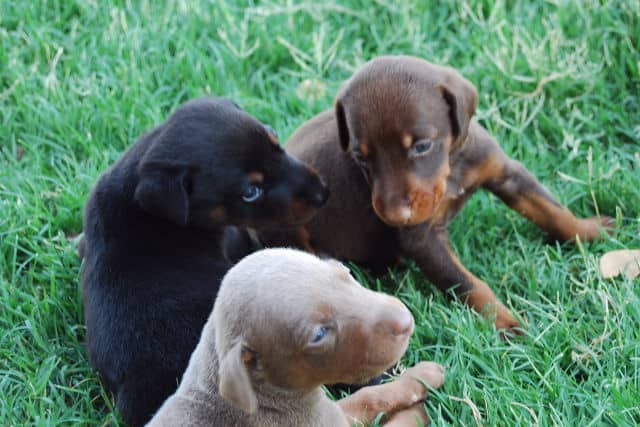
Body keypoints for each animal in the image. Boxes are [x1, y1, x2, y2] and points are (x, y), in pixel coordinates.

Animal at [146, 247, 444, 427]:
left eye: (346, 274)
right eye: (319, 334)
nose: (407, 321)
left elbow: (368, 395)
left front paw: (421, 376)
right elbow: (385, 409)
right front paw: (420, 406)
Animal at [262, 56, 612, 332]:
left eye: (421, 146)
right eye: (361, 157)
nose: (393, 216)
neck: (450, 168)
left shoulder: (505, 173)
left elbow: (550, 210)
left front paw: (589, 231)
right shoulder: (422, 239)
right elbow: (468, 283)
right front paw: (507, 324)